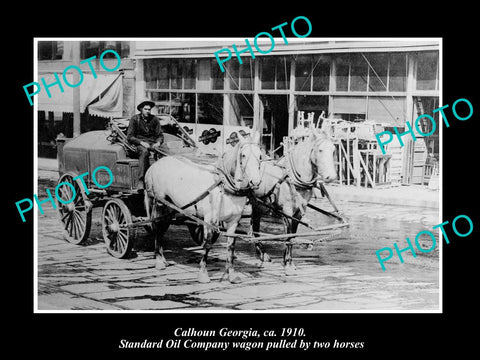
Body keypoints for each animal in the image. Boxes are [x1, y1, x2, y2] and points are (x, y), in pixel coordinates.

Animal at [144, 134, 262, 282]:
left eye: (261, 155)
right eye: (243, 155)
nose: (255, 182)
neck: (224, 184)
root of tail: (155, 165)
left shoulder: (234, 221)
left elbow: (231, 246)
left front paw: (231, 274)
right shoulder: (210, 220)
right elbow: (207, 243)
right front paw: (203, 273)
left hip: (171, 208)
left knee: (162, 227)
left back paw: (162, 258)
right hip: (160, 203)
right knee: (157, 228)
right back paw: (159, 261)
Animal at [253, 131, 336, 274]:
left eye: (333, 150)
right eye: (320, 150)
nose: (331, 177)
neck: (293, 180)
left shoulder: (299, 211)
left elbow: (293, 234)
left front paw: (288, 261)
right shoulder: (287, 211)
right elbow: (289, 235)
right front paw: (287, 264)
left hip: (260, 204)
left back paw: (261, 253)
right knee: (254, 226)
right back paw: (261, 252)